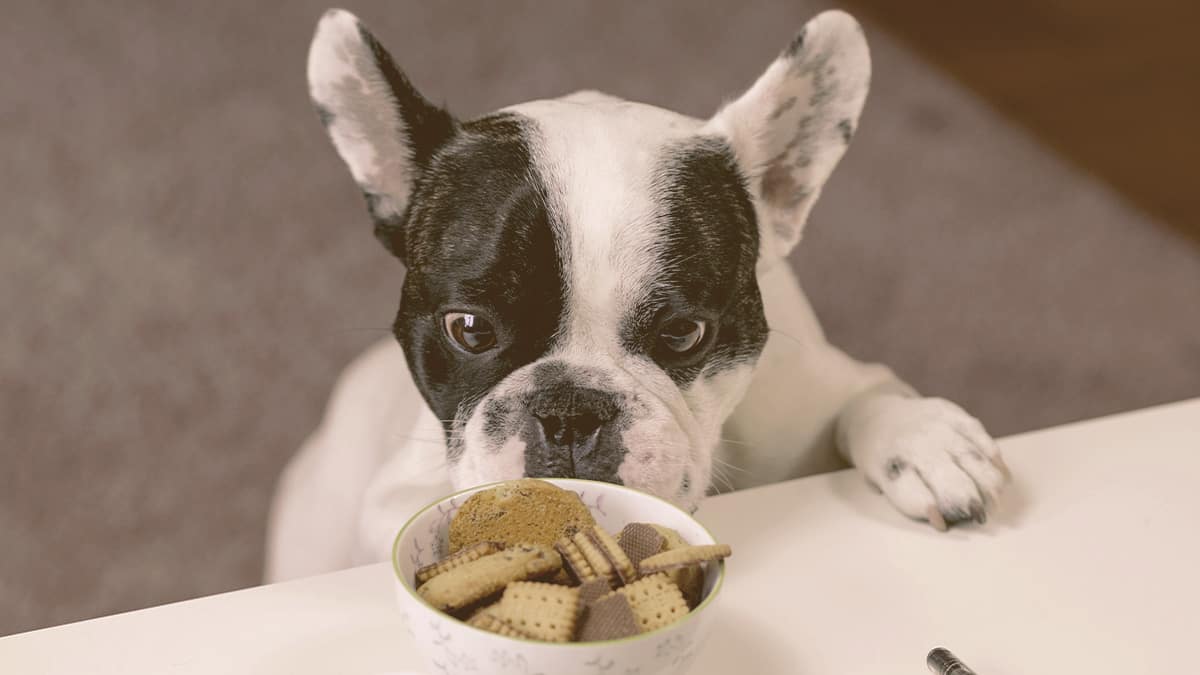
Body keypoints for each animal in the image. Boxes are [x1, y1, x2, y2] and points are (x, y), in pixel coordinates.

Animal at [267, 9, 1008, 578]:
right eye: (468, 329)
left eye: (684, 334)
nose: (569, 411)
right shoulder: (393, 493)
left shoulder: (815, 392)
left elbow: (869, 395)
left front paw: (926, 440)